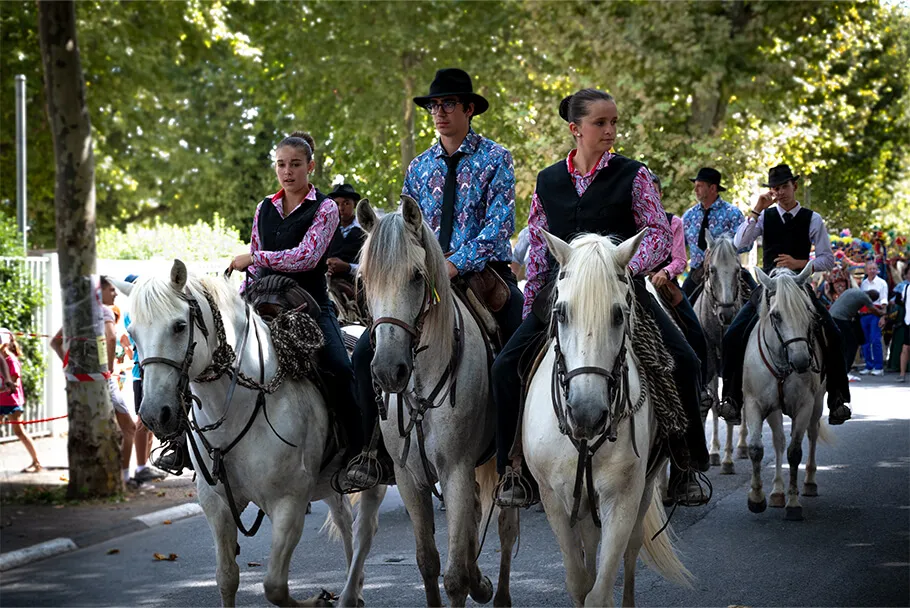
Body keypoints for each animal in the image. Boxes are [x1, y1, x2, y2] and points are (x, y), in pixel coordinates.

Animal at [124, 262, 384, 608]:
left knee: (364, 529)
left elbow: (275, 586)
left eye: (179, 326)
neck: (240, 407)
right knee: (344, 520)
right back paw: (354, 589)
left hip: (374, 478)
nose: (155, 414)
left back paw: (349, 593)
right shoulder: (216, 503)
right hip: (328, 481)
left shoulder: (289, 503)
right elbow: (227, 577)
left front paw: (318, 600)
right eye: (133, 334)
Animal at [358, 197, 520, 604]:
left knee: (506, 526)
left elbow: (455, 575)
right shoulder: (409, 478)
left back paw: (499, 594)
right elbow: (428, 562)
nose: (388, 371)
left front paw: (471, 582)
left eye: (417, 276)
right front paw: (471, 580)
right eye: (365, 280)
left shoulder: (456, 471)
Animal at [528, 230, 692, 604]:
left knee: (631, 550)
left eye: (619, 315)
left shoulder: (623, 498)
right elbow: (579, 582)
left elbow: (599, 592)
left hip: (645, 486)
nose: (586, 413)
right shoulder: (554, 499)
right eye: (561, 313)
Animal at [744, 264, 832, 520]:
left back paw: (809, 482)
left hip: (817, 404)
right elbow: (757, 448)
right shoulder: (754, 403)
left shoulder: (804, 406)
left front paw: (793, 503)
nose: (802, 361)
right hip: (774, 410)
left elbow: (795, 452)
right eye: (776, 315)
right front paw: (757, 498)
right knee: (779, 441)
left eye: (809, 312)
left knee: (811, 434)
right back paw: (776, 492)